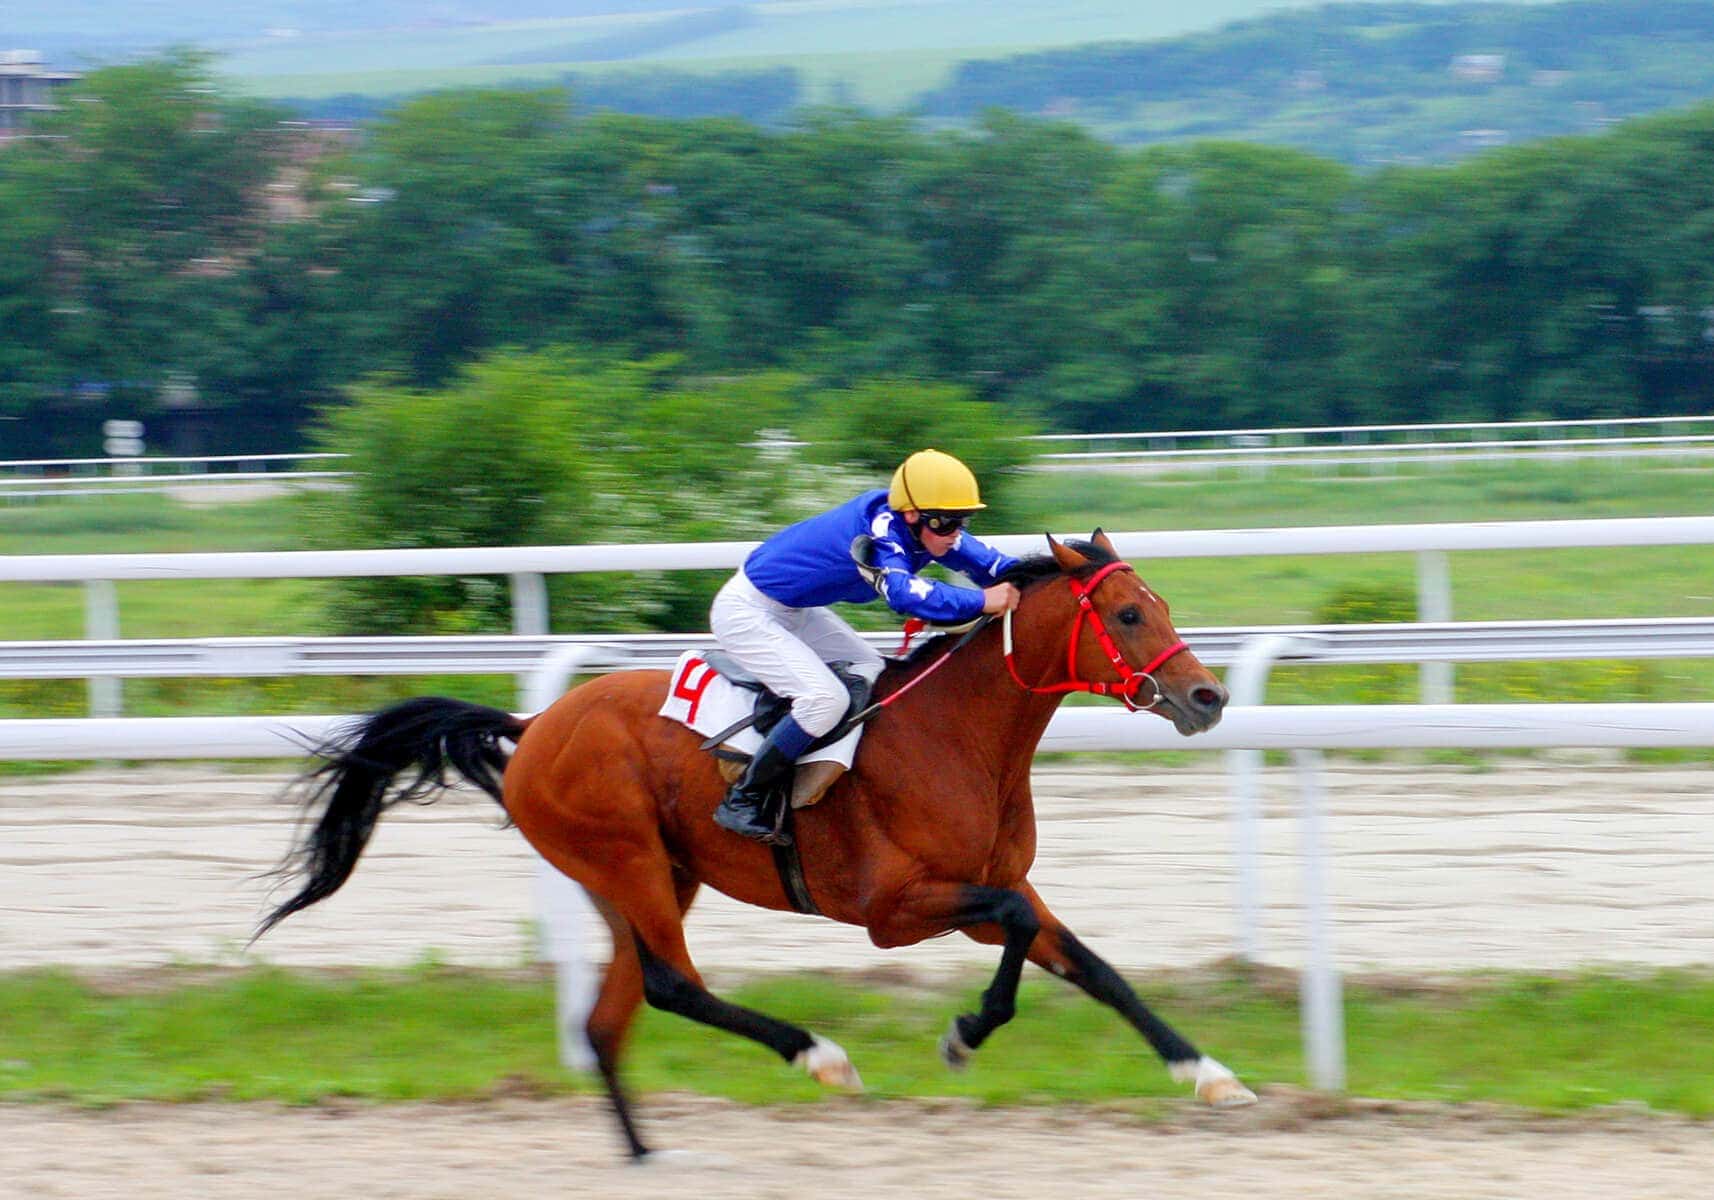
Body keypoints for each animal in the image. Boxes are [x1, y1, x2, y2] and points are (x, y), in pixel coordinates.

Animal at [257, 530, 1252, 1160]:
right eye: (1127, 615)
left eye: (1160, 603)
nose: (1209, 698)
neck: (958, 738)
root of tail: (534, 723)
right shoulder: (894, 909)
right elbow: (1010, 925)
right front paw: (965, 1034)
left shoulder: (985, 892)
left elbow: (1095, 967)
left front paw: (1209, 1075)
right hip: (626, 860)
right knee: (671, 985)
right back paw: (820, 1056)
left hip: (647, 878)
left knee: (610, 1016)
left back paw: (647, 1158)